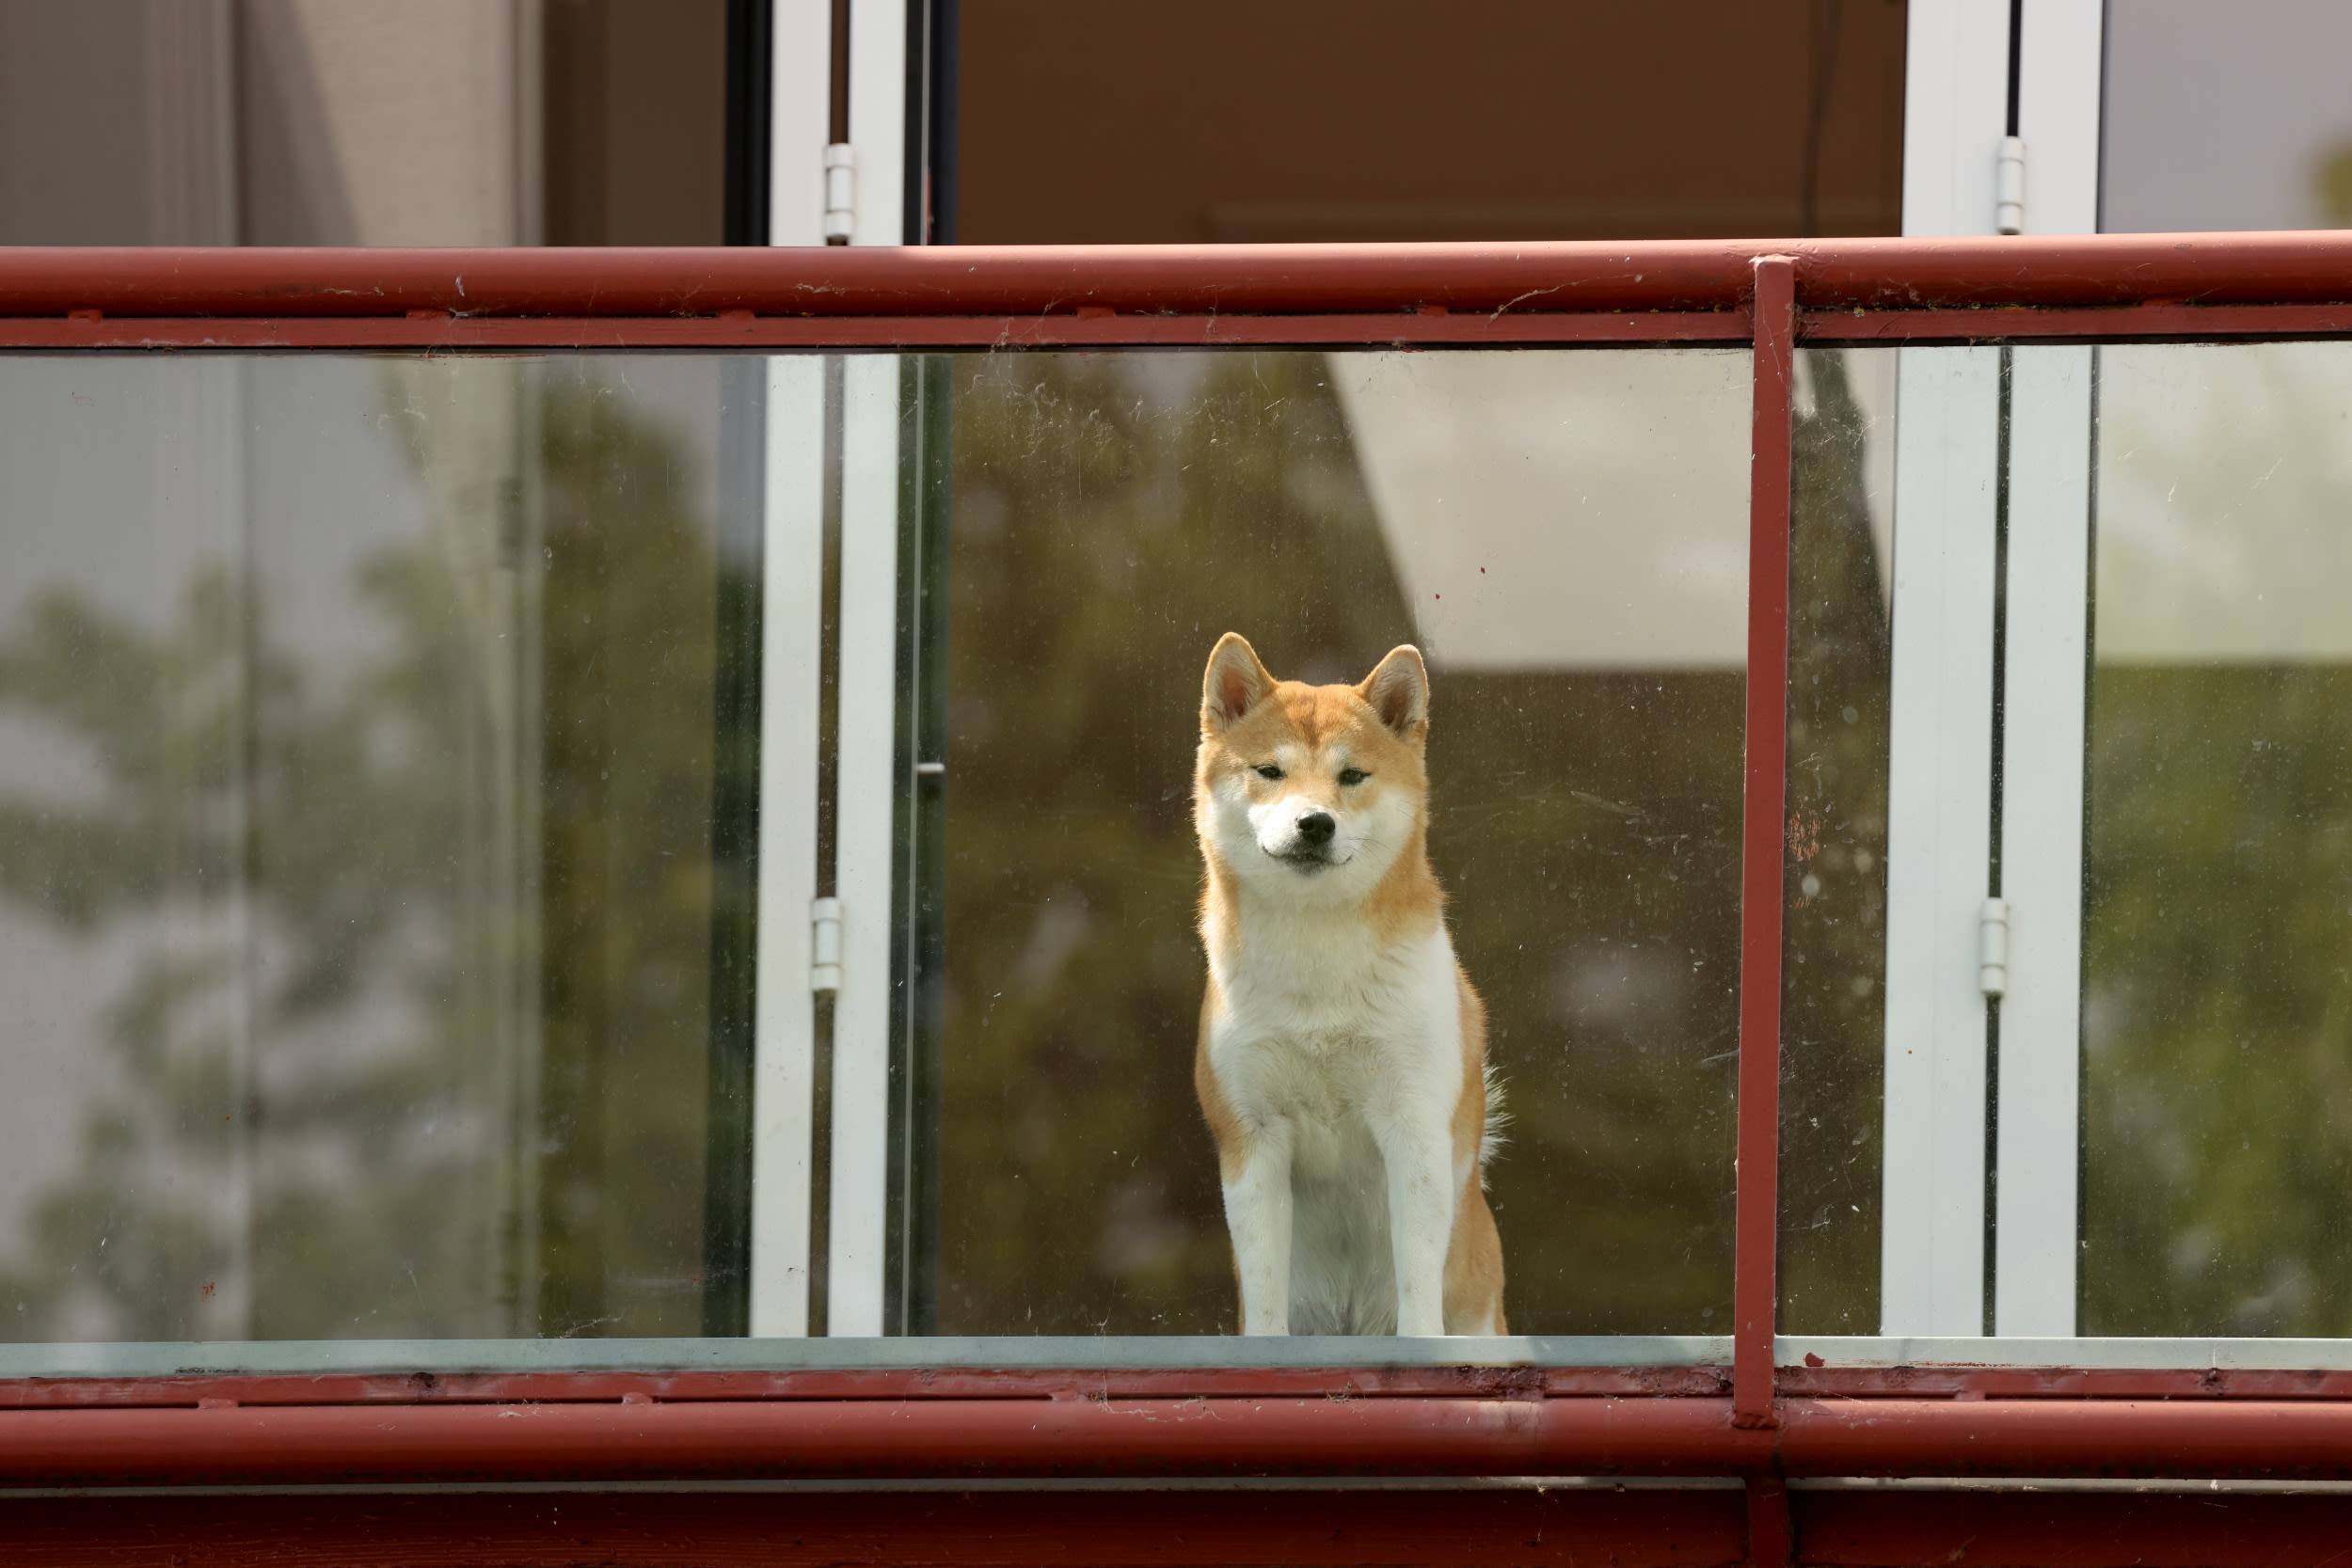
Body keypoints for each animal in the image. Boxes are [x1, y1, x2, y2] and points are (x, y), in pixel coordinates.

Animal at [1195, 634, 1505, 1335]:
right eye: (1270, 771)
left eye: (1353, 776)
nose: (1315, 823)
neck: (1318, 971)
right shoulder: (1252, 1137)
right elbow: (1264, 1290)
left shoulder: (1412, 1124)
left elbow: (1416, 1275)